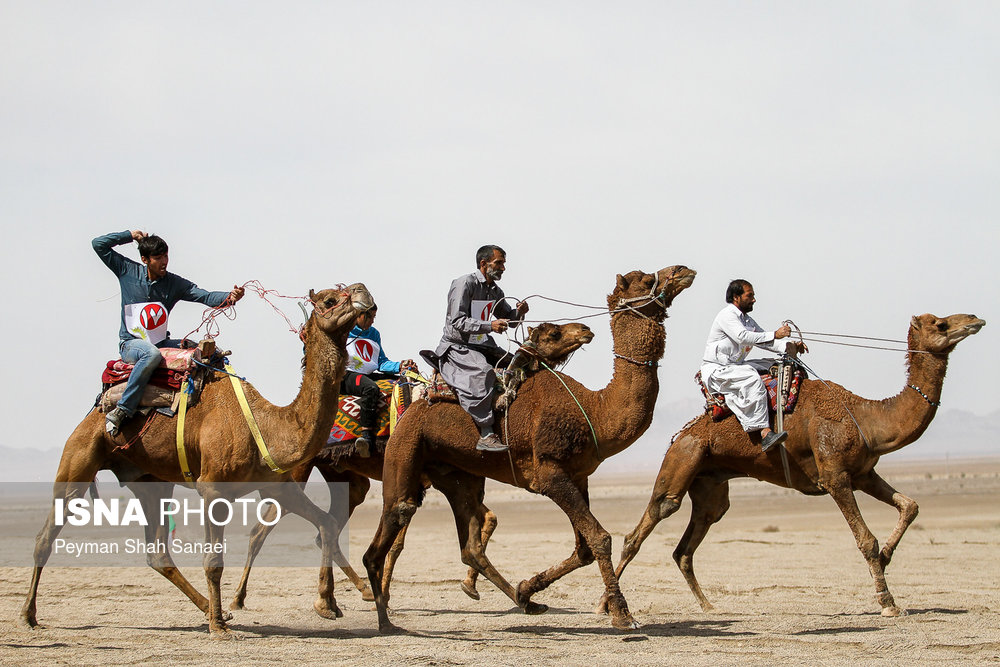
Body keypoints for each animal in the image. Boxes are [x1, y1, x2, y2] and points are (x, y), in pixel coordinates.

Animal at [19, 282, 378, 636]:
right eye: (330, 299)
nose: (364, 292)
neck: (268, 426)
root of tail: (100, 403)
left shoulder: (277, 484)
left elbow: (326, 523)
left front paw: (327, 605)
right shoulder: (213, 489)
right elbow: (214, 562)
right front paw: (219, 629)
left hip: (150, 481)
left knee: (157, 552)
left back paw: (211, 608)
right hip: (79, 456)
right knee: (45, 536)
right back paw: (29, 615)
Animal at [230, 320, 596, 608]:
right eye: (553, 332)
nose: (585, 330)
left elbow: (485, 519)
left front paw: (469, 586)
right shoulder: (420, 475)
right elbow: (401, 541)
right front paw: (388, 593)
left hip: (344, 475)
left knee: (327, 529)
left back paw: (342, 595)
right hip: (298, 469)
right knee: (263, 529)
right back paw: (239, 598)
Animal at [364, 264, 700, 632]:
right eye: (646, 279)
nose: (682, 270)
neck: (594, 410)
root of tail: (417, 401)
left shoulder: (578, 475)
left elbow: (583, 548)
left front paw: (528, 588)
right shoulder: (549, 472)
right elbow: (600, 538)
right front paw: (623, 615)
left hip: (456, 473)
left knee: (469, 545)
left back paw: (524, 602)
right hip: (405, 449)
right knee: (395, 517)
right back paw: (384, 619)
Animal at [600, 316, 984, 620]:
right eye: (941, 324)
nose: (975, 319)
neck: (866, 417)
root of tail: (682, 433)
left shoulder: (863, 473)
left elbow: (910, 505)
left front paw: (888, 557)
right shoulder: (835, 476)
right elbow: (865, 540)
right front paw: (887, 602)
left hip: (710, 483)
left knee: (688, 543)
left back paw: (708, 606)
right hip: (682, 460)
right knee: (647, 523)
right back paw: (606, 605)